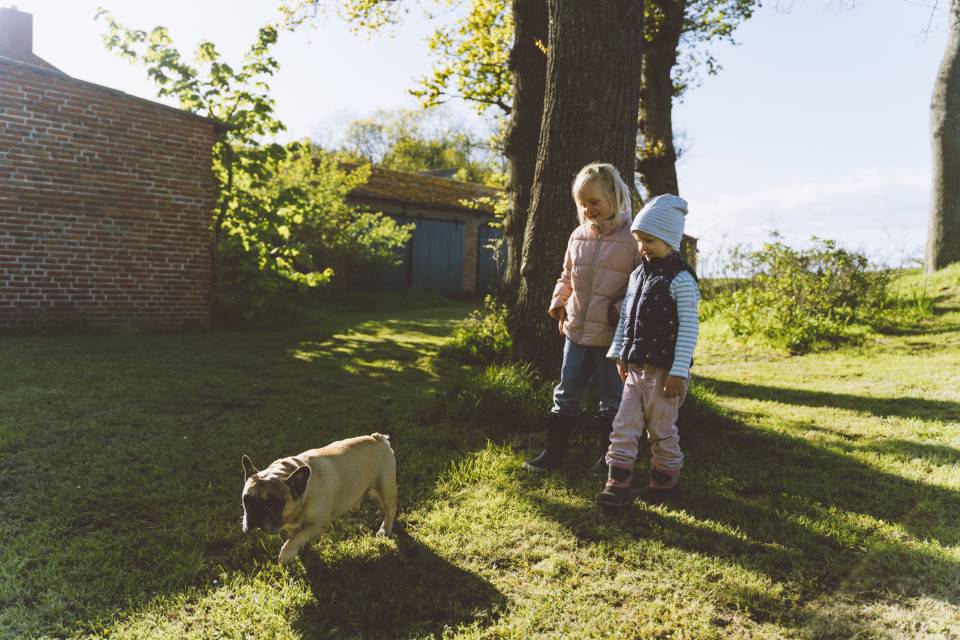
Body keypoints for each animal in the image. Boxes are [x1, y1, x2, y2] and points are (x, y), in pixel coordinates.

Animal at [242, 432, 396, 564]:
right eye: (246, 500)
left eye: (274, 502)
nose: (256, 512)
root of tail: (377, 438)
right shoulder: (294, 526)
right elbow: (296, 537)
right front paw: (301, 550)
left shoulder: (318, 524)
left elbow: (296, 538)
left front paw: (286, 554)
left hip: (385, 487)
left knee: (390, 509)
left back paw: (384, 529)